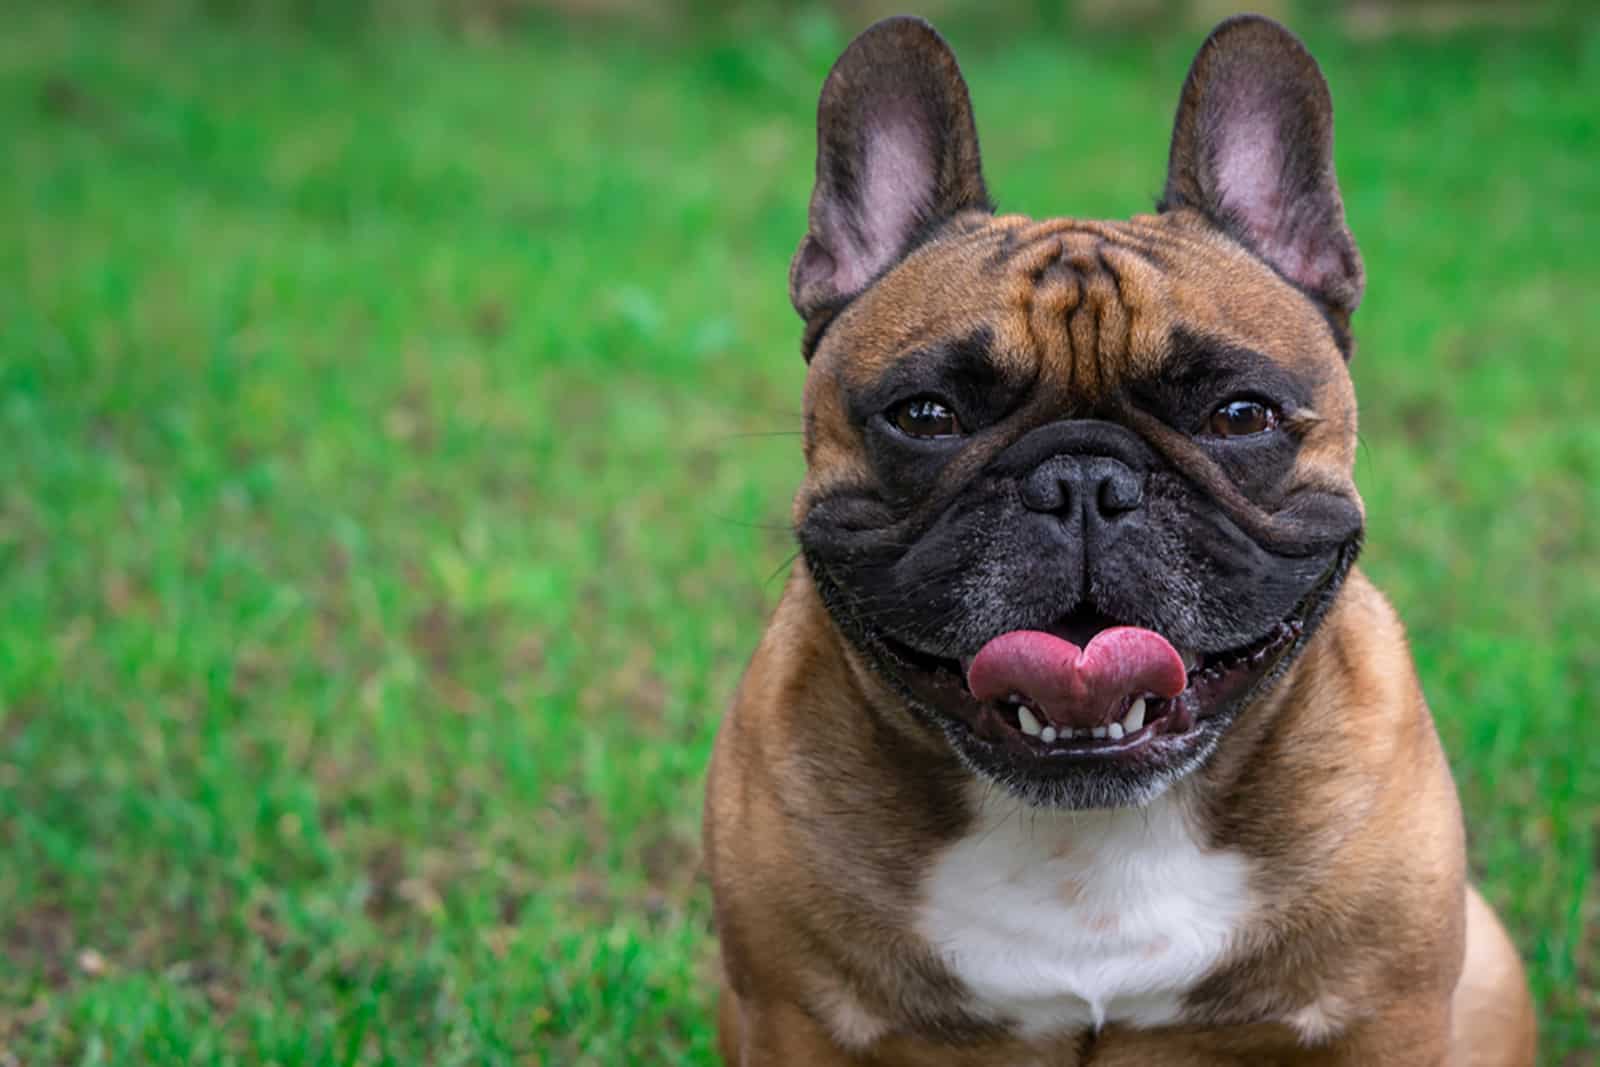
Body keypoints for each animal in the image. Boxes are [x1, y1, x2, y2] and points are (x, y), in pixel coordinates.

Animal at [707, 16, 1529, 1067]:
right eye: (926, 415)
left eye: (1239, 414)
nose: (1084, 482)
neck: (1090, 837)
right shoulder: (793, 1016)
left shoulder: (1386, 1018)